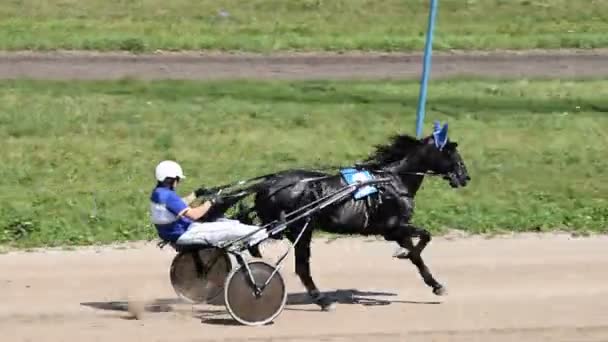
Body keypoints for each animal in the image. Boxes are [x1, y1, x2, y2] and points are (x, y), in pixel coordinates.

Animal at [233, 122, 470, 310]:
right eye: (452, 154)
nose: (465, 177)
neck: (392, 181)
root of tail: (268, 184)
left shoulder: (396, 231)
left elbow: (417, 256)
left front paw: (435, 284)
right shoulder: (393, 228)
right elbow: (425, 237)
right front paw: (404, 255)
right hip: (302, 229)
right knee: (301, 267)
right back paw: (322, 300)